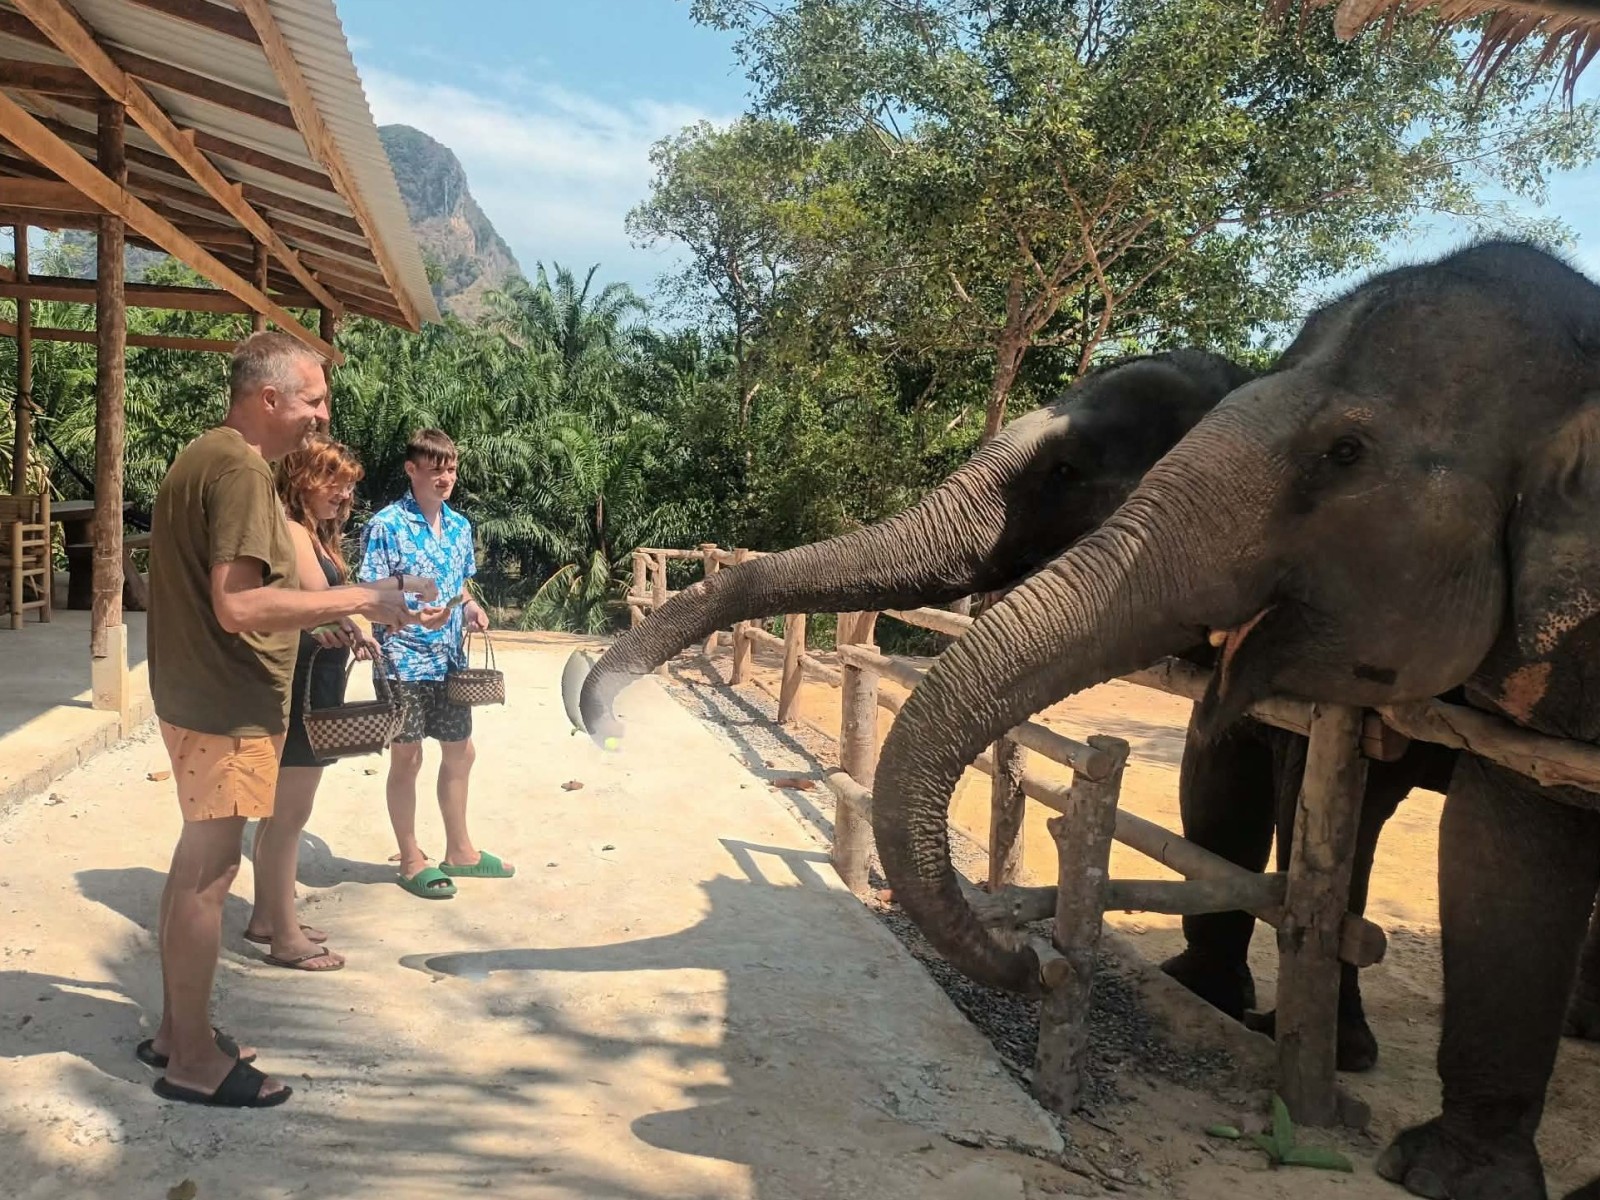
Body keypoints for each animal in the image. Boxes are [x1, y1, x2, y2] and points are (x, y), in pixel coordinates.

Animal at [865, 239, 1600, 1200]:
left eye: (1344, 452)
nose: (1031, 962)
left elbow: (1490, 841)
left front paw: (1441, 1176)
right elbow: (1240, 776)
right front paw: (1215, 1001)